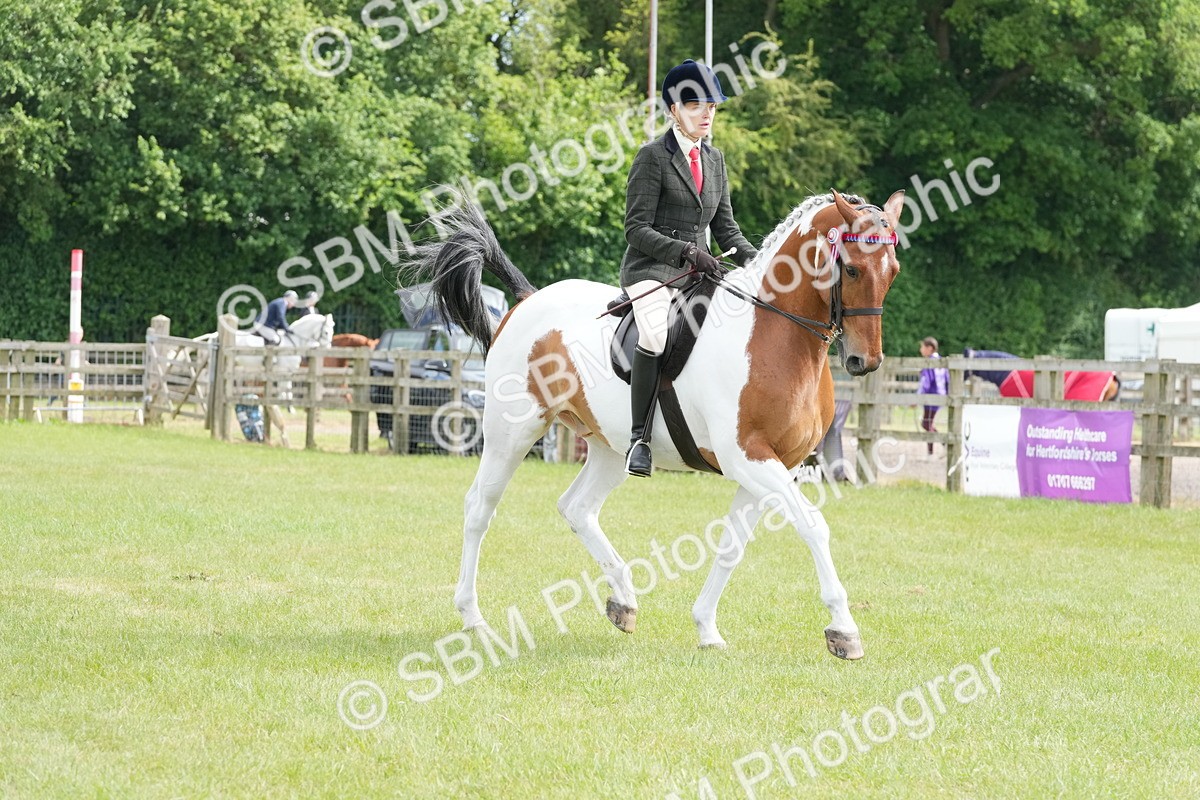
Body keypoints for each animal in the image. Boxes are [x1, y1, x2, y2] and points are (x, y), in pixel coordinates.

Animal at [410, 190, 903, 658]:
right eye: (852, 270)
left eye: (893, 270)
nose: (864, 362)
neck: (771, 333)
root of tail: (529, 300)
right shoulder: (748, 457)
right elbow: (813, 526)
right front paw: (844, 631)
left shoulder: (777, 463)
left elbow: (732, 545)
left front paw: (707, 628)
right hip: (511, 432)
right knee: (480, 508)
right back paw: (473, 618)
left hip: (609, 447)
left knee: (577, 507)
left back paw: (623, 602)